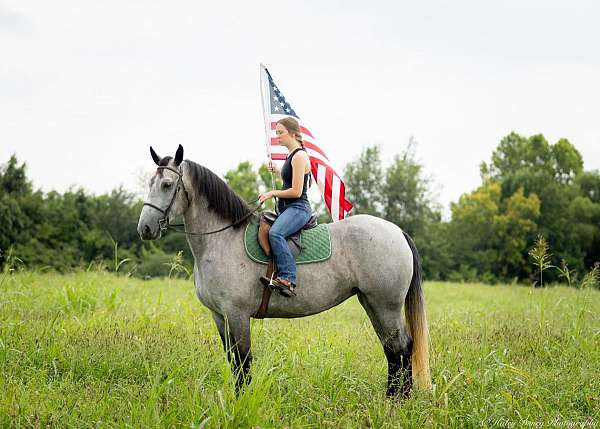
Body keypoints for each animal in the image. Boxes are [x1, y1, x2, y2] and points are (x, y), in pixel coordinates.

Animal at [137, 145, 432, 396]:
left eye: (167, 185)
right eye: (150, 183)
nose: (145, 228)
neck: (222, 238)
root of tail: (396, 231)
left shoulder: (237, 314)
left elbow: (243, 363)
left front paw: (241, 403)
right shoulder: (219, 316)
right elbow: (232, 361)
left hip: (385, 305)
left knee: (402, 348)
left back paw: (398, 401)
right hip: (371, 303)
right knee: (392, 350)